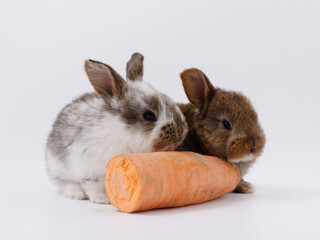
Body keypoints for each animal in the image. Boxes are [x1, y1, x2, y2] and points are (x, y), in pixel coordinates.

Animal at [46, 53, 189, 203]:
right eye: (149, 116)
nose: (181, 133)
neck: (122, 133)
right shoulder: (92, 170)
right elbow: (94, 187)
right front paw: (103, 199)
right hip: (59, 168)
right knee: (66, 183)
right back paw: (76, 194)